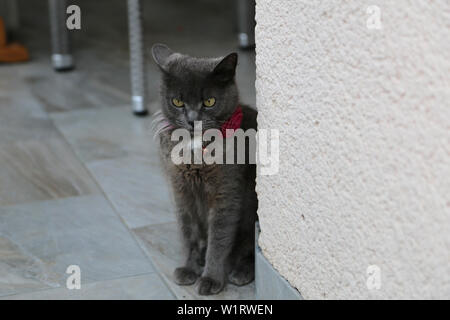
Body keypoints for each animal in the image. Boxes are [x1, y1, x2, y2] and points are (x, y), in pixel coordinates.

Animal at [151, 43, 256, 296]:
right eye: (177, 102)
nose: (192, 120)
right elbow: (188, 232)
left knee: (248, 246)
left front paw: (210, 279)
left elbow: (219, 239)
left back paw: (241, 271)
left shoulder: (226, 193)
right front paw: (189, 268)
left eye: (209, 101)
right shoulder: (180, 190)